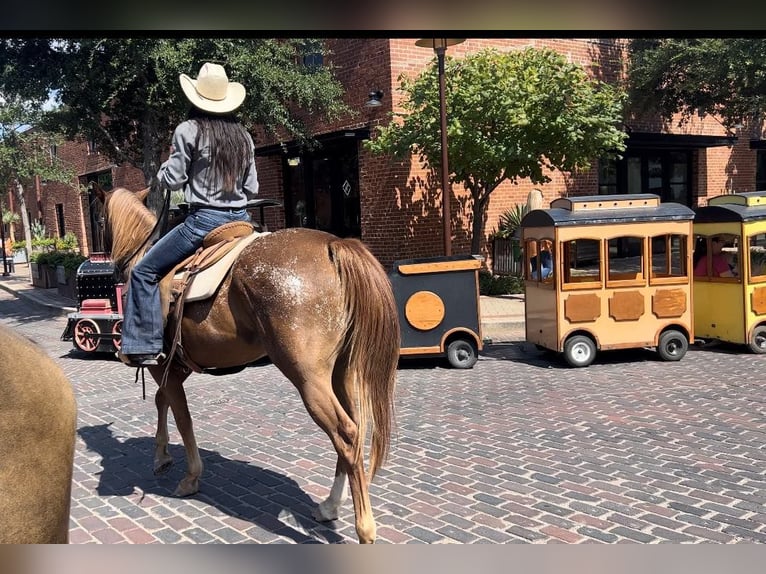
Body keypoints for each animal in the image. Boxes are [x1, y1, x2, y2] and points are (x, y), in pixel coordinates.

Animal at [100, 189, 402, 544]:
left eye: (100, 220)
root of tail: (333, 245)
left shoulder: (162, 366)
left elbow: (182, 417)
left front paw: (190, 476)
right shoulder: (175, 367)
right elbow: (164, 402)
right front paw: (161, 456)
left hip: (309, 379)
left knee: (346, 434)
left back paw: (364, 528)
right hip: (340, 373)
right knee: (353, 430)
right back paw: (329, 505)